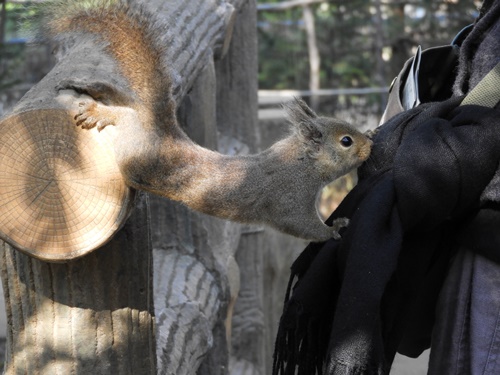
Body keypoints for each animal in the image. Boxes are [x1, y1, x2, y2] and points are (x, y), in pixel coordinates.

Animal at [42, 0, 372, 241]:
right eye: (346, 141)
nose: (370, 142)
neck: (301, 162)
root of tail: (161, 132)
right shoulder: (288, 199)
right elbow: (302, 226)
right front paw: (335, 229)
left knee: (129, 111)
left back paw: (99, 106)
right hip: (135, 155)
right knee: (127, 122)